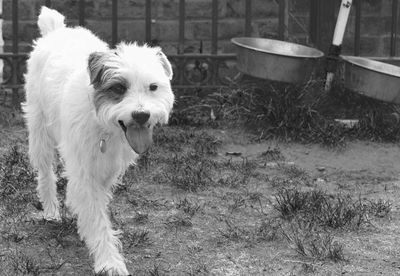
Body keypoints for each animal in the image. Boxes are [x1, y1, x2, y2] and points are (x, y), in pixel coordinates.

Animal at [24, 7, 174, 276]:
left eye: (153, 87)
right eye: (119, 88)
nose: (141, 115)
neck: (105, 126)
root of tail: (57, 30)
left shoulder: (107, 168)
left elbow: (96, 207)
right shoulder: (84, 170)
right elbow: (96, 217)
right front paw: (109, 261)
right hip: (39, 130)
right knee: (45, 172)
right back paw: (51, 210)